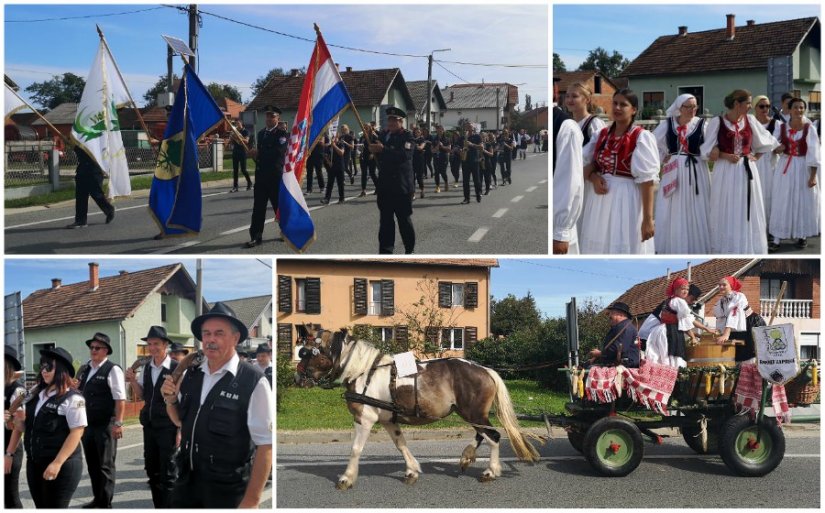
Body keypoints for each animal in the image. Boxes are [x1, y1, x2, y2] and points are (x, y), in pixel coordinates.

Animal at [308, 330, 540, 490]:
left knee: (493, 436)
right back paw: (467, 456)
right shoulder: (389, 420)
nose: (302, 376)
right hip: (471, 413)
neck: (365, 372)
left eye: (311, 350)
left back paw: (490, 471)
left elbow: (356, 448)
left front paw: (346, 478)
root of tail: (485, 369)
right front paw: (411, 471)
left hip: (473, 413)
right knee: (481, 435)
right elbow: (401, 444)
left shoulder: (364, 419)